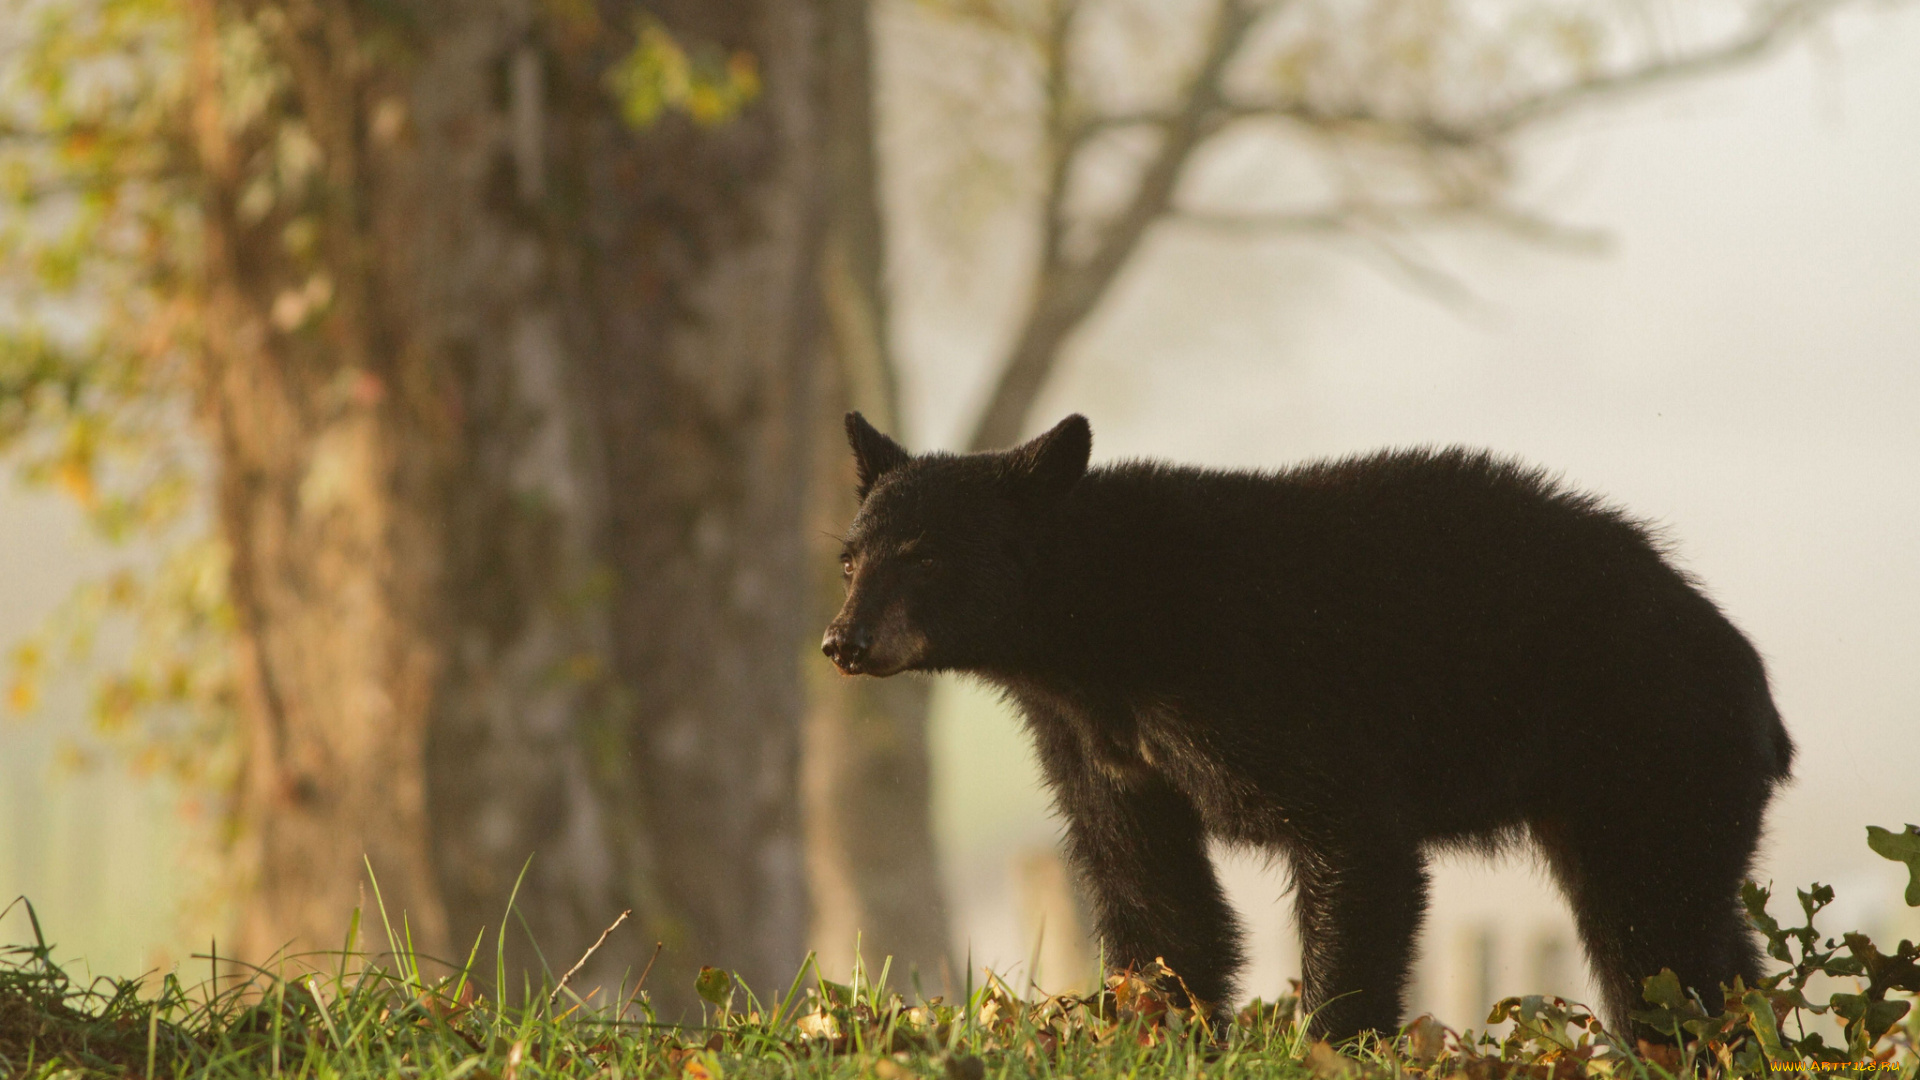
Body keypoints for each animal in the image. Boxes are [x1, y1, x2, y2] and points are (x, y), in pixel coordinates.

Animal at [825, 409, 1797, 1037]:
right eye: (850, 556)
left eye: (925, 555)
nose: (844, 641)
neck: (1102, 631)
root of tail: (1761, 695)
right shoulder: (1094, 741)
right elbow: (1147, 880)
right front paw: (1154, 1025)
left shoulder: (1253, 688)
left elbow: (1352, 843)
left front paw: (1328, 1036)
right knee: (1701, 937)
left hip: (1651, 753)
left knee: (1655, 937)